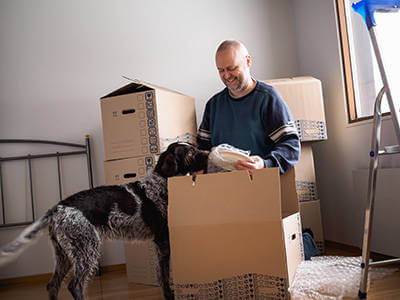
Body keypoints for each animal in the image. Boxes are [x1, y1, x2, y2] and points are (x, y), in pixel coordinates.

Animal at [0, 142, 208, 300]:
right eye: (190, 152)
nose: (208, 152)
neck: (162, 184)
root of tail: (57, 208)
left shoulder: (159, 245)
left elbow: (160, 275)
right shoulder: (164, 241)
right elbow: (165, 277)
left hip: (64, 254)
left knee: (52, 285)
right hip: (86, 249)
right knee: (74, 285)